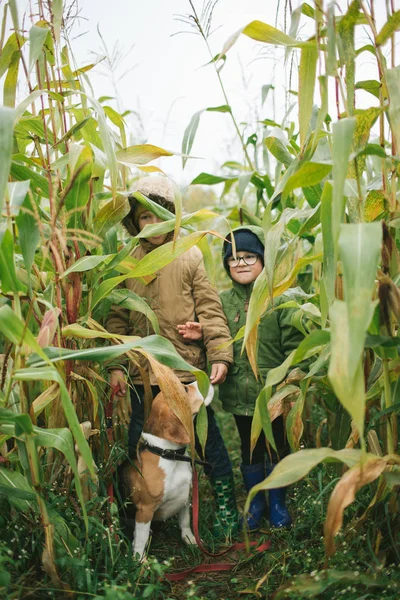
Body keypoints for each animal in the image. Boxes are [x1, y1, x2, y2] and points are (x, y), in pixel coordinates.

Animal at [123, 382, 214, 560]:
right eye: (184, 389)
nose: (207, 377)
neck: (171, 456)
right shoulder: (144, 510)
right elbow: (141, 538)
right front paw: (140, 560)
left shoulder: (186, 497)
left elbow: (185, 523)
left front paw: (191, 540)